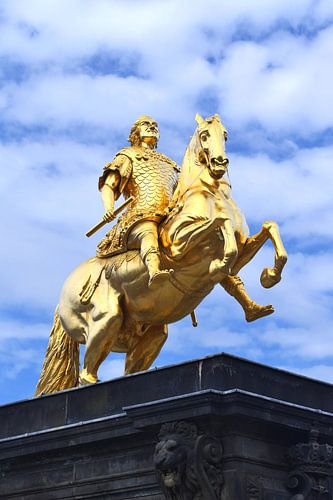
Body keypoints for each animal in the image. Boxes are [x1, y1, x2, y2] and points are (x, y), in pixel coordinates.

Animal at [35, 115, 286, 396]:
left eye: (225, 134)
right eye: (204, 135)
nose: (220, 162)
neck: (209, 193)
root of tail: (63, 294)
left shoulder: (243, 249)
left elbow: (268, 228)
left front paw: (270, 276)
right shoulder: (178, 245)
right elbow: (220, 225)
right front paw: (218, 264)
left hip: (149, 336)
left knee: (128, 370)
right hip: (104, 321)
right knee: (87, 375)